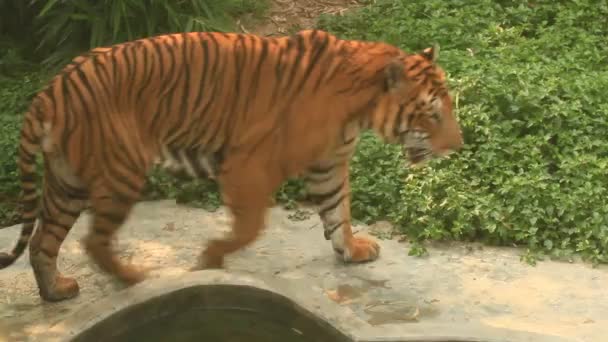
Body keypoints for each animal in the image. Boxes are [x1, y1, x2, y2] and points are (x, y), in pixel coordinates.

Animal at [0, 30, 460, 302]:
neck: (361, 108)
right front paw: (210, 259)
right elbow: (250, 227)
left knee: (42, 242)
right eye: (432, 114)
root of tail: (53, 89)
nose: (458, 146)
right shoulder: (249, 165)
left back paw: (56, 291)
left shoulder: (329, 162)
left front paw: (351, 249)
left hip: (67, 180)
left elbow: (338, 211)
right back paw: (134, 279)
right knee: (93, 241)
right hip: (119, 171)